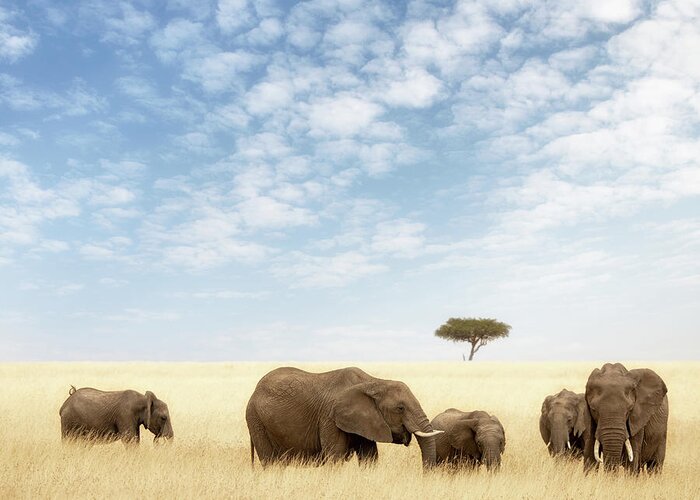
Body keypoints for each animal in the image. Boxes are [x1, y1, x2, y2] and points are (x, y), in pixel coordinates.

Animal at [246, 366, 442, 466]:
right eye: (400, 408)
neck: (373, 382)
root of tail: (254, 391)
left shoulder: (366, 420)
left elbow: (369, 456)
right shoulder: (330, 417)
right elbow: (335, 456)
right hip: (256, 420)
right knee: (270, 462)